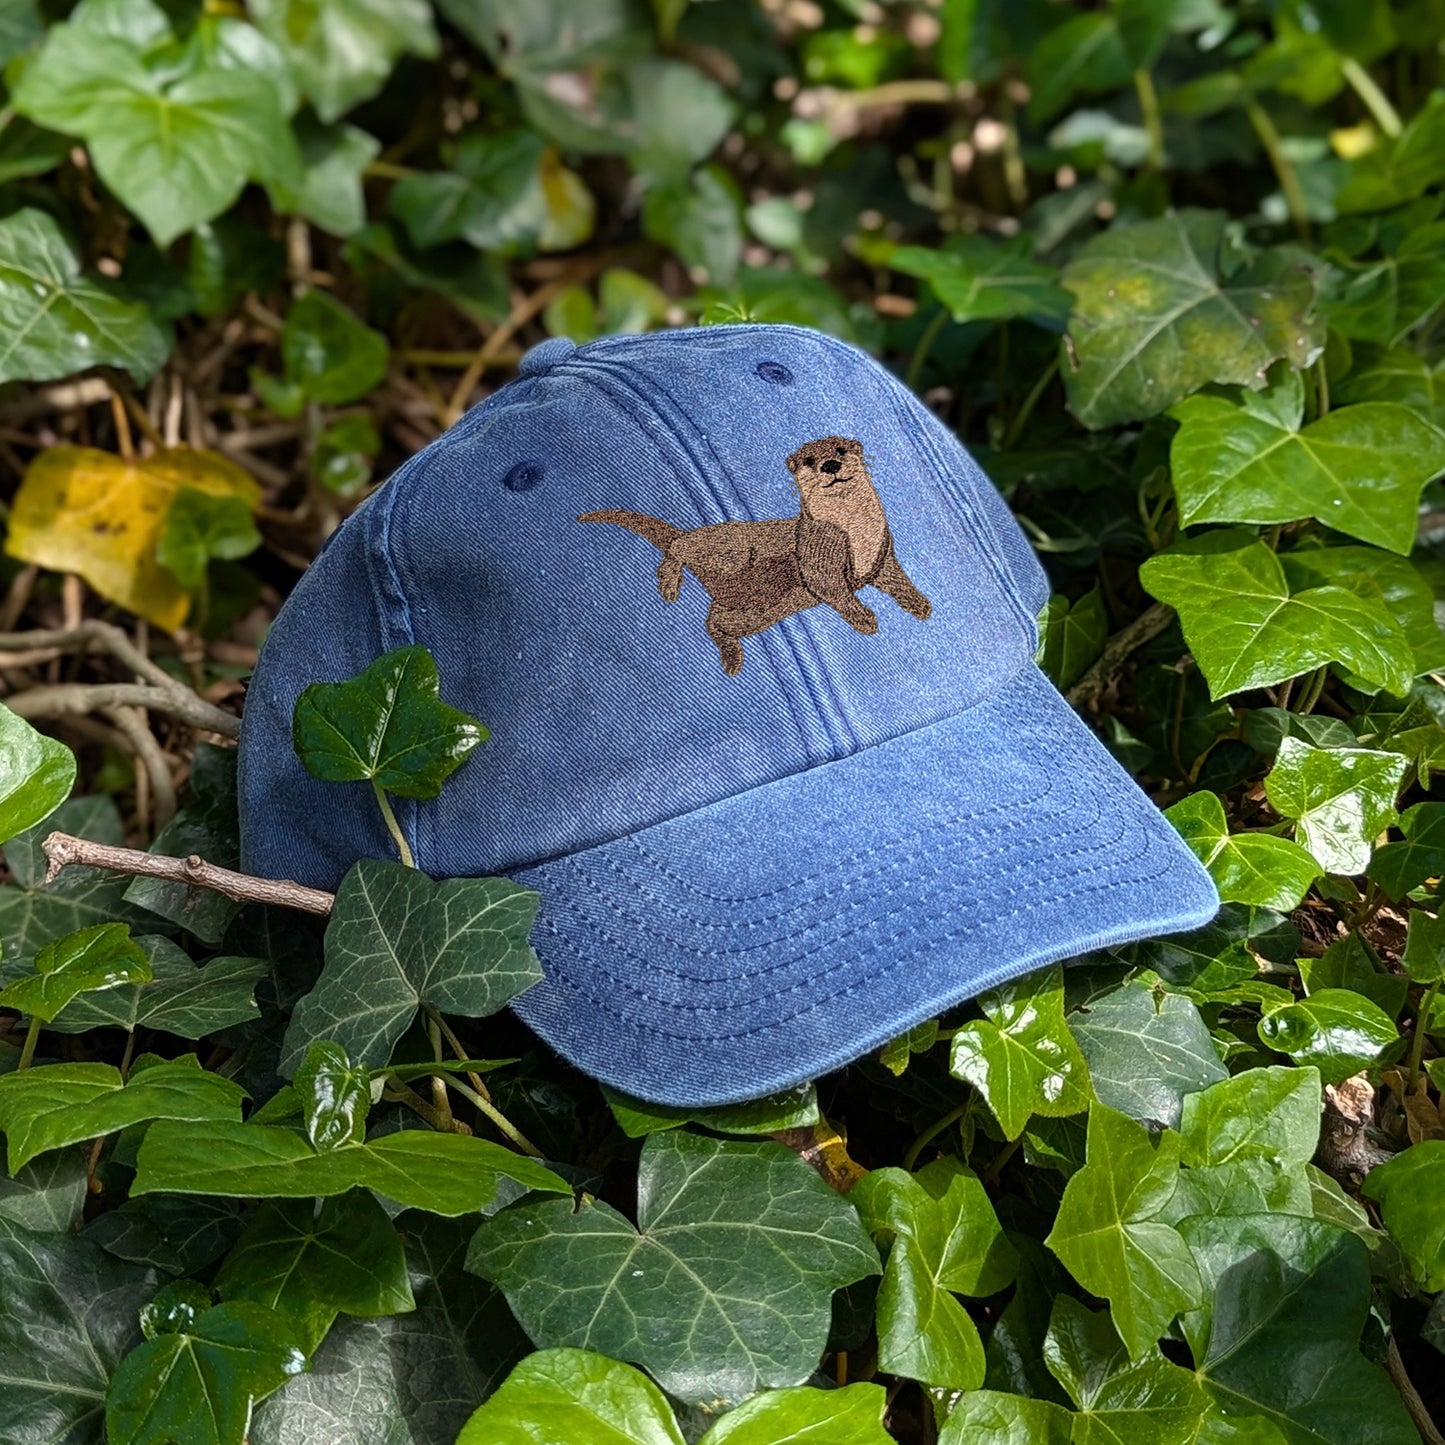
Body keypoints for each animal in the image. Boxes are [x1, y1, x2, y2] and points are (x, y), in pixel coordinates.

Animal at [579, 436, 932, 675]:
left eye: (841, 450)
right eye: (808, 460)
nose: (830, 465)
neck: (857, 531)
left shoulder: (881, 554)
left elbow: (897, 579)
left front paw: (919, 604)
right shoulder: (819, 552)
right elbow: (834, 589)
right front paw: (864, 618)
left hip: (756, 612)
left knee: (714, 621)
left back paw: (731, 657)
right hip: (726, 546)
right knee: (680, 547)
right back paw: (669, 585)